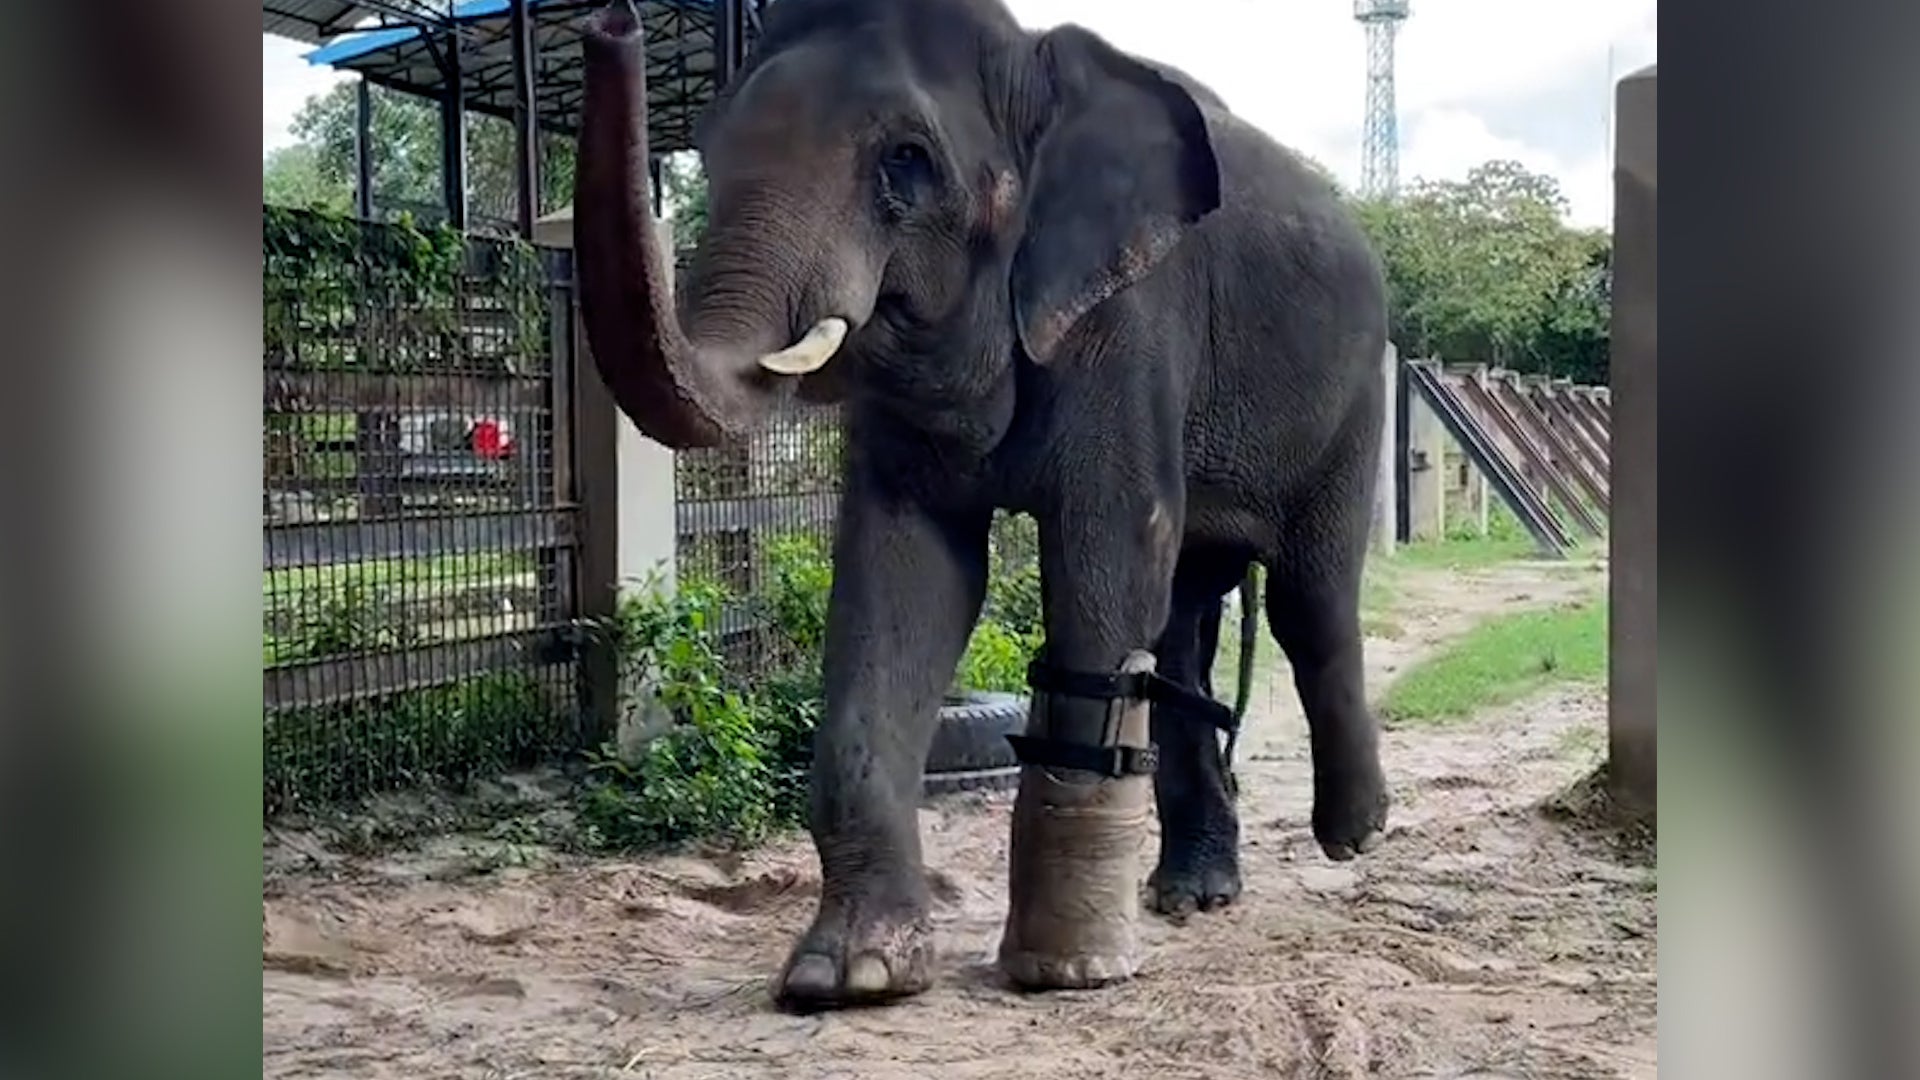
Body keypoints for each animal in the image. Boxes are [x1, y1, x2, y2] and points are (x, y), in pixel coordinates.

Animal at [573, 0, 1392, 1011]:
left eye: (906, 161)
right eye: (711, 154)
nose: (613, 24)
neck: (1031, 64)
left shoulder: (1128, 322)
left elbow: (1107, 557)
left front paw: (1066, 970)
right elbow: (904, 579)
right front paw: (851, 977)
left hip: (1356, 392)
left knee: (1305, 599)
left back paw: (1352, 835)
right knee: (1184, 627)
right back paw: (1192, 895)